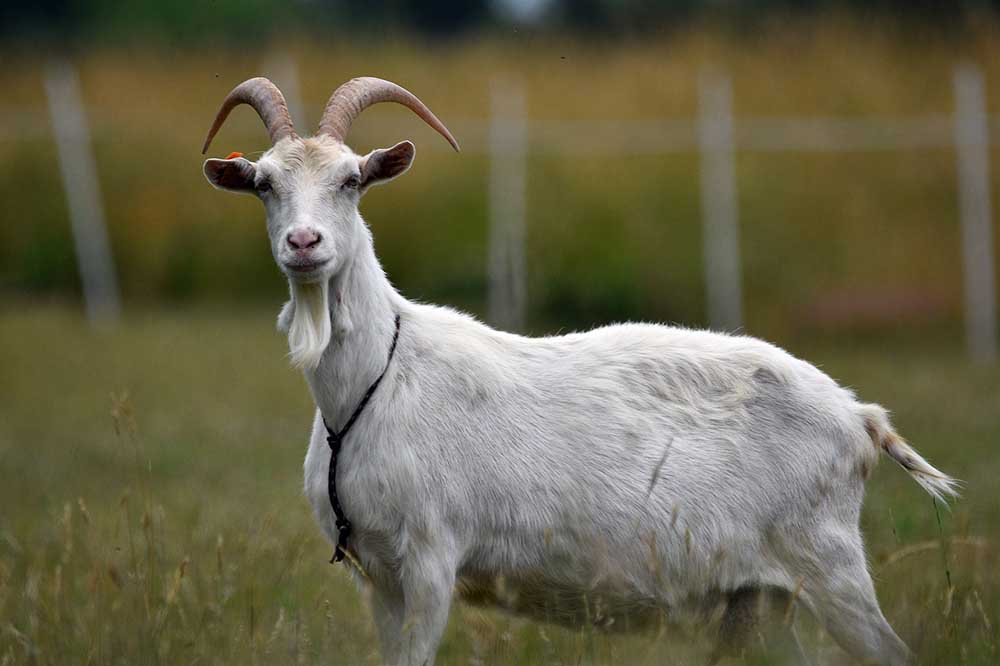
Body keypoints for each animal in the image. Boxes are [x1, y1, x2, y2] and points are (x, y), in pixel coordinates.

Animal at [202, 77, 959, 665]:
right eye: (263, 184)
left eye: (352, 179)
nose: (304, 243)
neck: (372, 385)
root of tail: (861, 418)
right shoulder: (378, 576)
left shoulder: (428, 560)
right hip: (765, 598)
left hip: (826, 562)